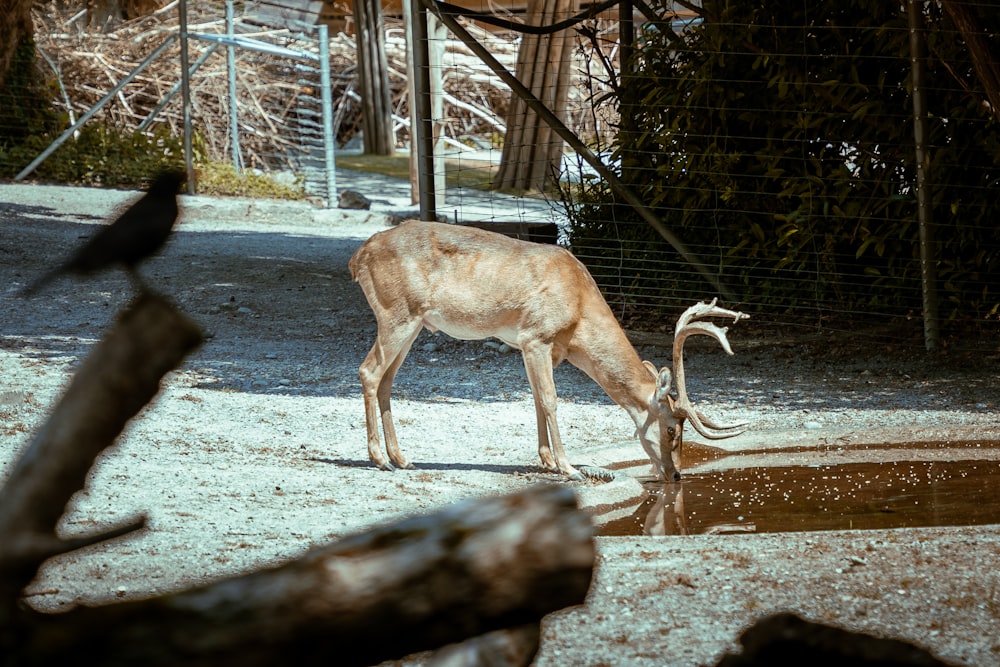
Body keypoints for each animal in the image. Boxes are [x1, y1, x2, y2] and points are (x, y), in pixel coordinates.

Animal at [348, 222, 748, 482]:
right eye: (671, 429)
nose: (676, 475)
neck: (578, 308)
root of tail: (358, 256)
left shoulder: (542, 348)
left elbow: (538, 399)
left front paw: (547, 462)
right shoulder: (536, 336)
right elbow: (552, 399)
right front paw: (569, 468)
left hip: (414, 323)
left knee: (387, 380)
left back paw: (403, 459)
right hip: (397, 314)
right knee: (369, 371)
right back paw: (380, 459)